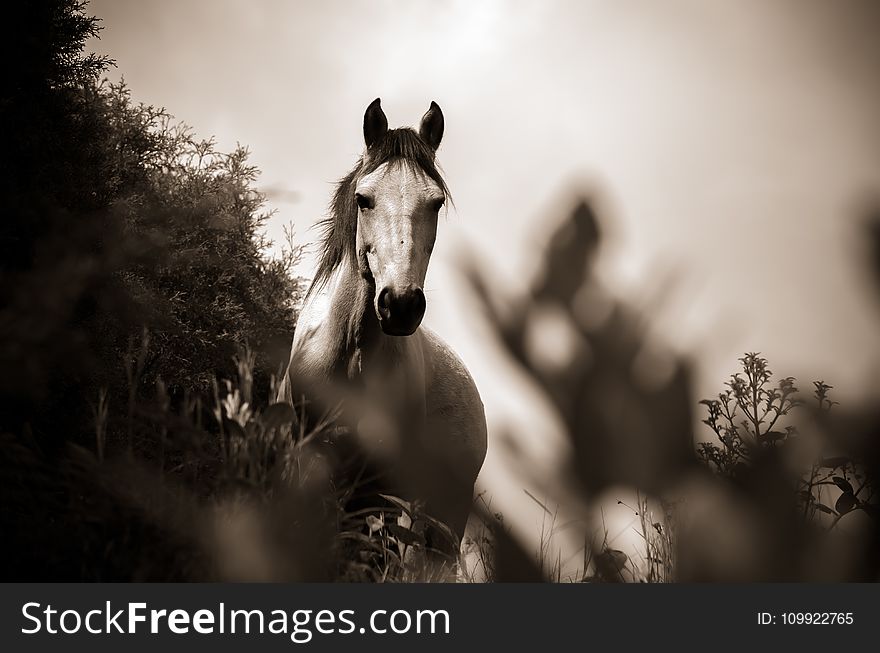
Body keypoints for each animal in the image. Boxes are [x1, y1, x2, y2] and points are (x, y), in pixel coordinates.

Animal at [276, 98, 488, 556]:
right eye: (364, 199)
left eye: (436, 203)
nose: (401, 305)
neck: (350, 355)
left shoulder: (378, 489)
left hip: (441, 518)